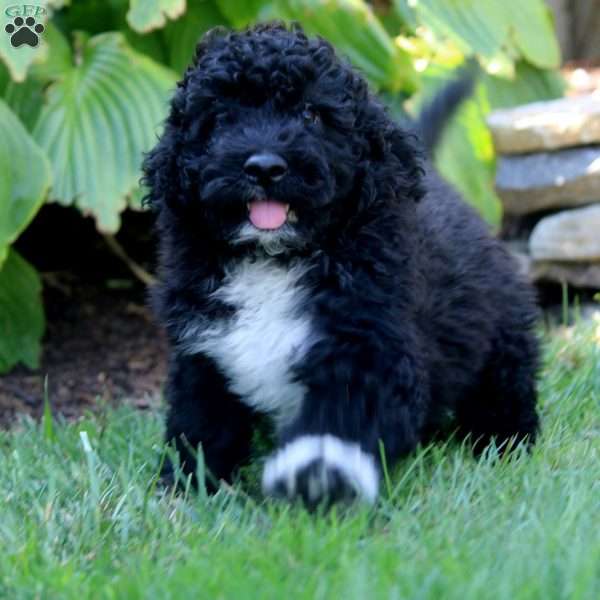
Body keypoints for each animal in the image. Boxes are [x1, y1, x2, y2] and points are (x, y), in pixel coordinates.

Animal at [144, 22, 540, 506]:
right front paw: (188, 484)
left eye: (311, 115)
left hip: (500, 330)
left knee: (505, 383)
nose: (264, 166)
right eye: (221, 119)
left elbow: (340, 420)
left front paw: (317, 472)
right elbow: (202, 423)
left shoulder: (369, 349)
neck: (275, 259)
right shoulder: (204, 351)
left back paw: (504, 440)